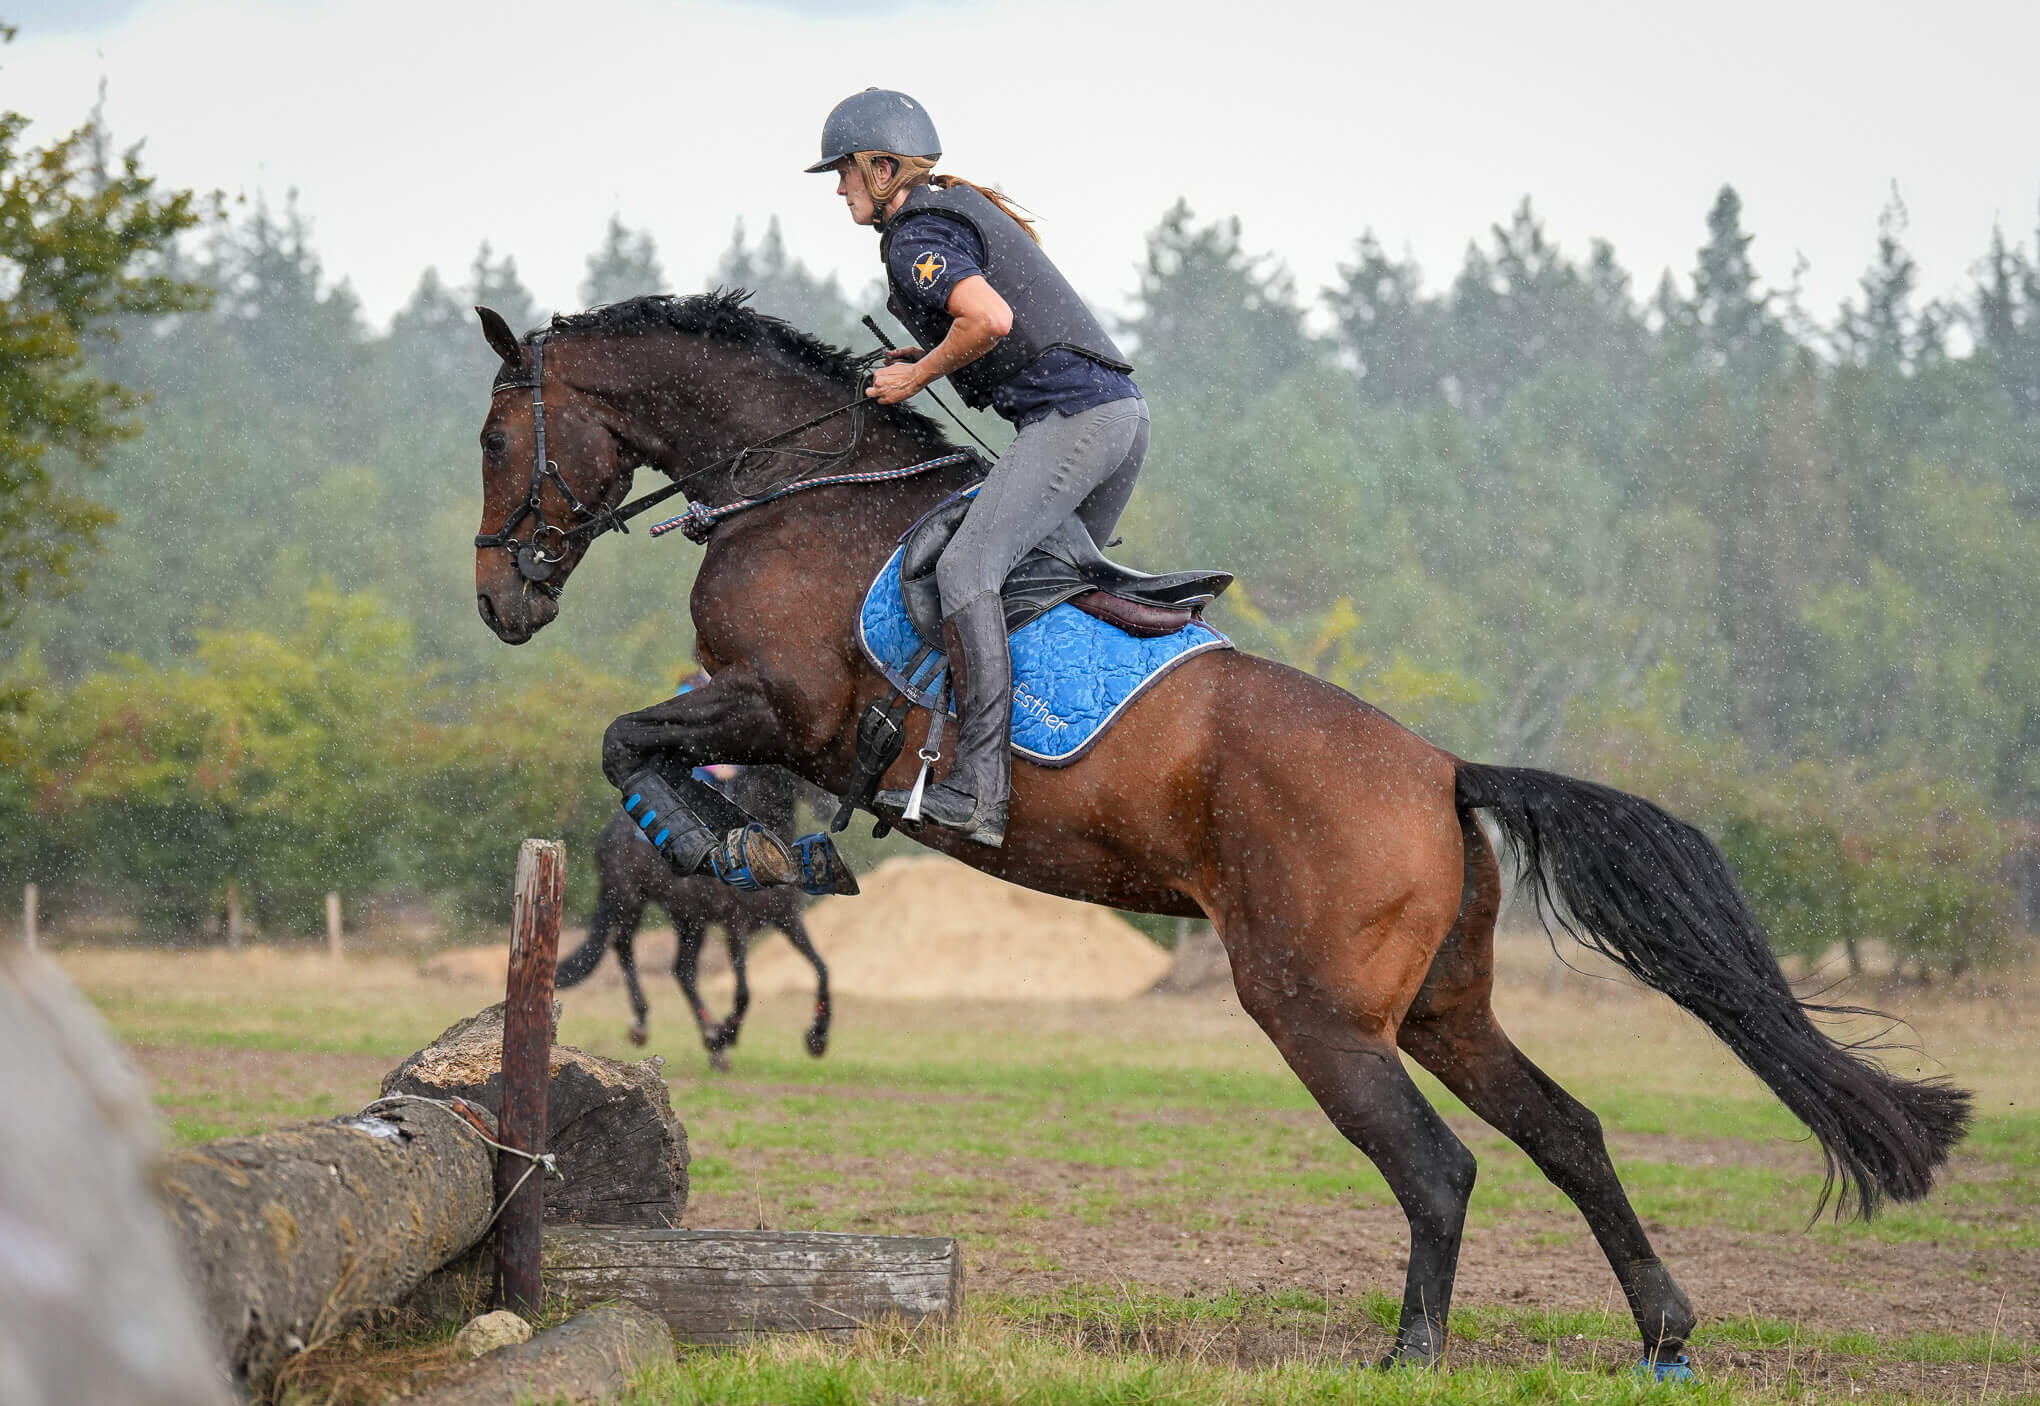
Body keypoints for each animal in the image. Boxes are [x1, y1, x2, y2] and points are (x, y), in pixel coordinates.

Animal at [555, 765, 832, 1071]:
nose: (827, 807)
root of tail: (609, 831)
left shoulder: (787, 918)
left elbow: (821, 968)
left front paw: (818, 1037)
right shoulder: (735, 924)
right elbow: (744, 992)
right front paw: (727, 1034)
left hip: (689, 920)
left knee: (683, 970)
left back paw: (711, 1038)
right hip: (629, 900)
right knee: (624, 947)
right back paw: (644, 1023)